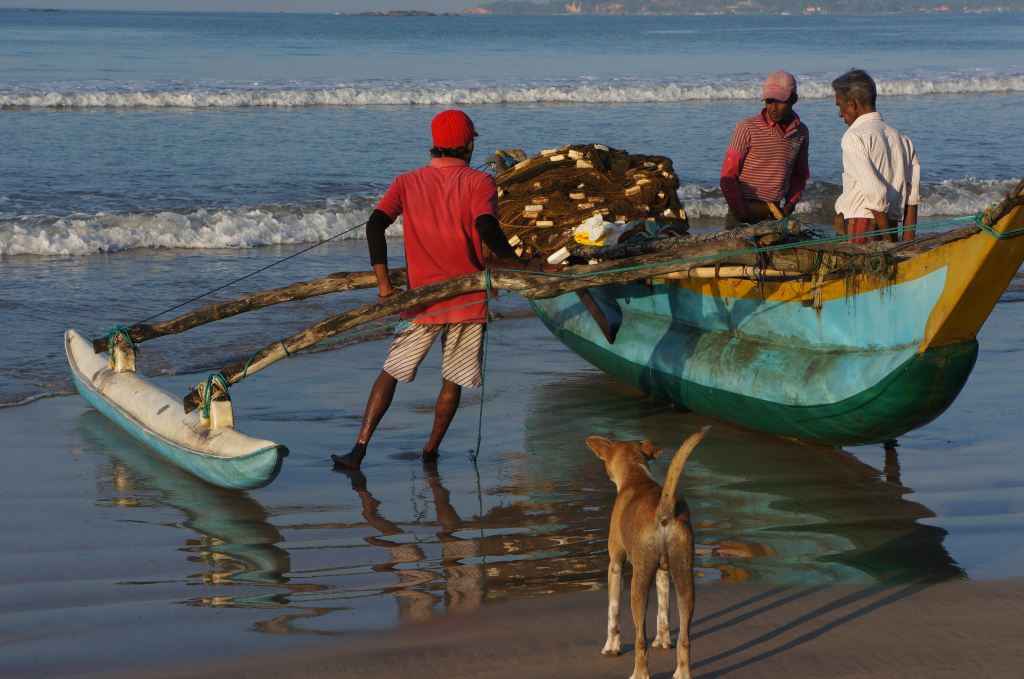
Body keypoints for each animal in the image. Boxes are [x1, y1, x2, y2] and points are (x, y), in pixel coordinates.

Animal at [589, 428, 708, 679]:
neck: (636, 477)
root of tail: (665, 506)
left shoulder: (615, 564)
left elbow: (613, 612)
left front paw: (611, 647)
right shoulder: (663, 571)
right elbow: (664, 607)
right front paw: (662, 641)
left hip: (639, 582)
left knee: (640, 640)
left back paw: (639, 673)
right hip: (685, 578)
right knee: (685, 639)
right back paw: (682, 672)